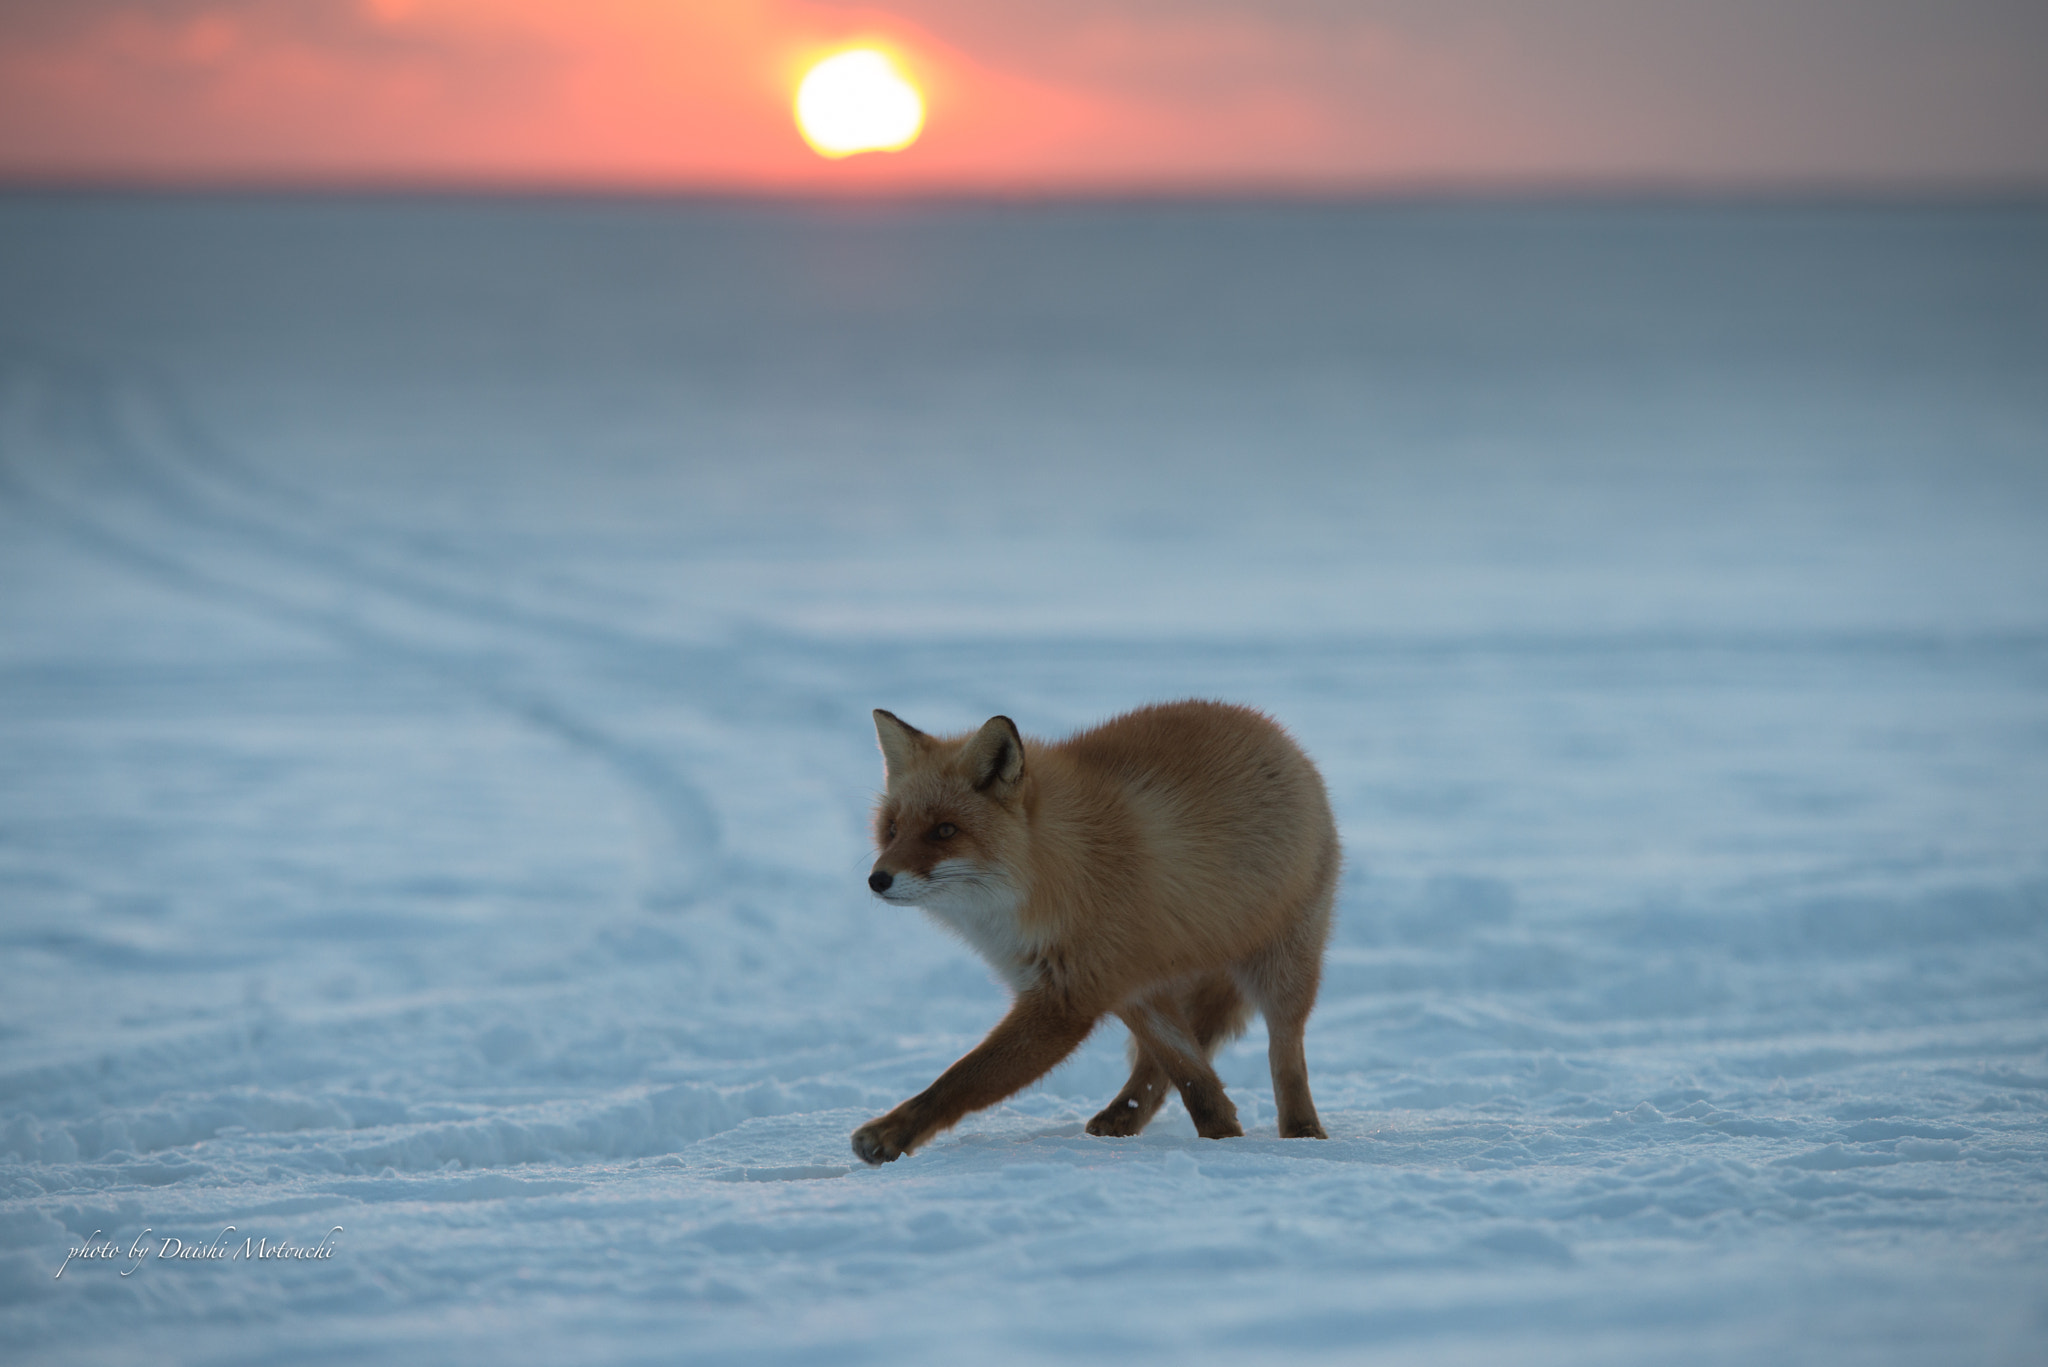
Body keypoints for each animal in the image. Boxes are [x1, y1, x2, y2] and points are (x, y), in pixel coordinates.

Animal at [853, 700, 1338, 1165]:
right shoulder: (1108, 980)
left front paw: (889, 1135)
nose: (877, 880)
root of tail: (1275, 732)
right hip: (1148, 983)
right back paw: (1126, 1118)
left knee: (1285, 1051)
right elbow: (1188, 1069)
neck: (1054, 868)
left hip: (1281, 968)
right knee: (1165, 1062)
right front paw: (1222, 1135)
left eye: (945, 831)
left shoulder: (1066, 999)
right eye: (892, 829)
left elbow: (961, 1079)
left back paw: (1302, 1133)